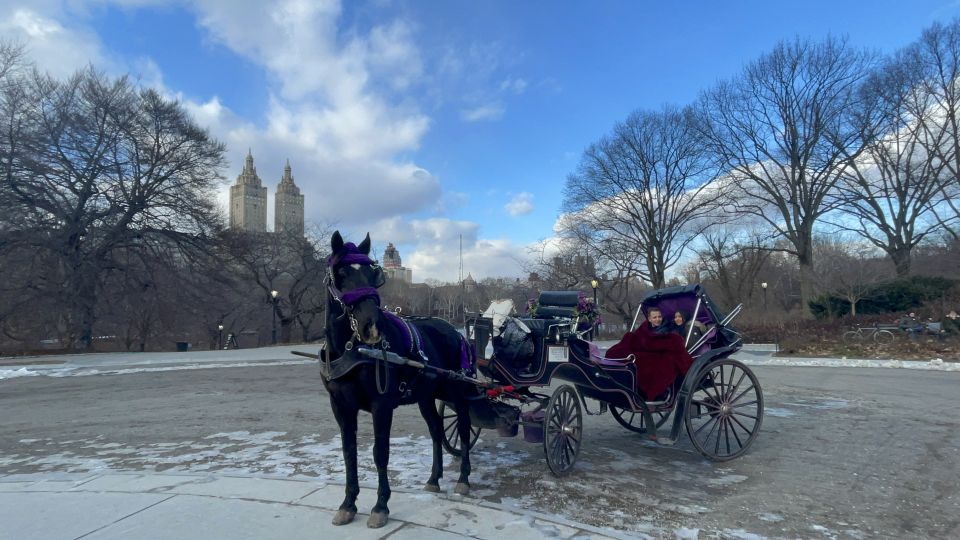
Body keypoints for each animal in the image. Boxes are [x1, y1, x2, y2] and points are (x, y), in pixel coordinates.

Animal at [318, 231, 476, 528]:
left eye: (373, 274)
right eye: (341, 272)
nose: (372, 326)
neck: (351, 349)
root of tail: (455, 330)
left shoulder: (381, 405)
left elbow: (380, 452)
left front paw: (381, 506)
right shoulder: (340, 407)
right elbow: (349, 453)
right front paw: (348, 504)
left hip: (458, 393)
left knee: (462, 429)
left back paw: (463, 478)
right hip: (427, 397)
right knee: (437, 431)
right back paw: (434, 479)